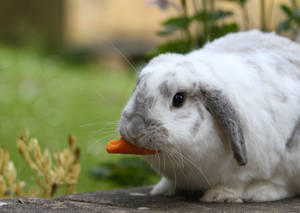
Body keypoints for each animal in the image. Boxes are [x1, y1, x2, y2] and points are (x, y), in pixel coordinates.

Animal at [117, 29, 300, 201]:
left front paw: (219, 195)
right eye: (137, 87)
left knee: (285, 184)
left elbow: (238, 182)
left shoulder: (246, 170)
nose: (135, 131)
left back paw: (261, 192)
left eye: (179, 99)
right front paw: (163, 189)